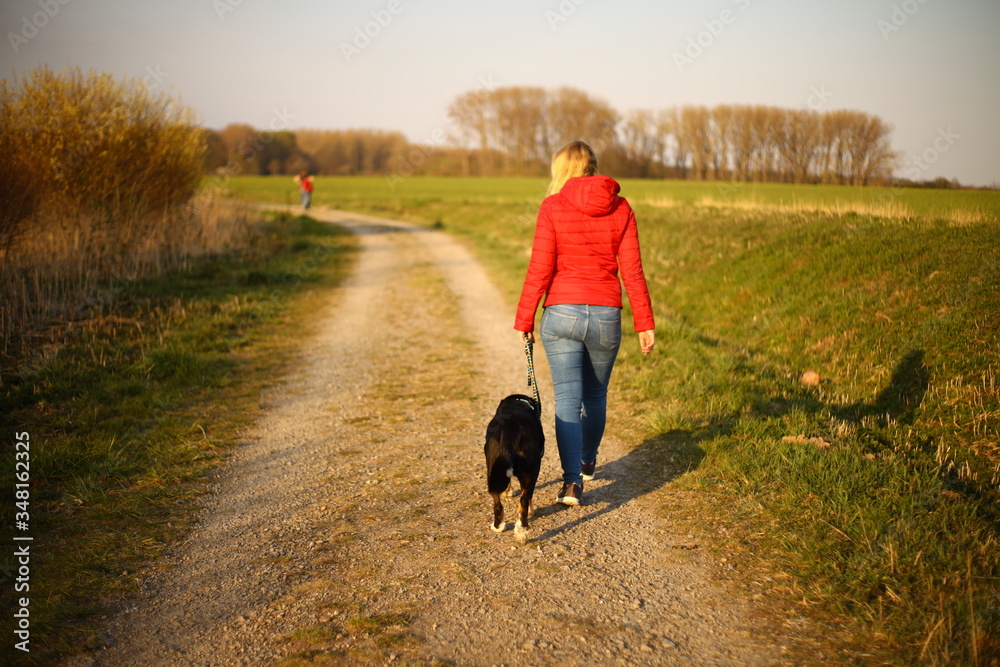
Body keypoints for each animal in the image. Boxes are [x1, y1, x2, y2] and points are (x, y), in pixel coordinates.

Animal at [483, 394, 544, 543]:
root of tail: (510, 430)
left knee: (497, 503)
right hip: (531, 472)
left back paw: (498, 526)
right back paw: (522, 531)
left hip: (493, 467)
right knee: (524, 501)